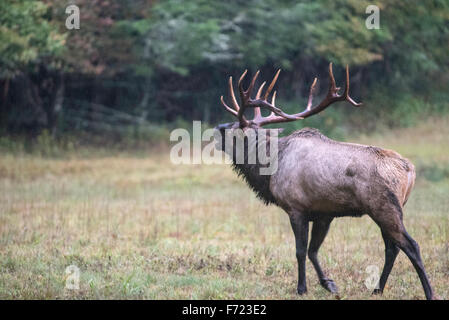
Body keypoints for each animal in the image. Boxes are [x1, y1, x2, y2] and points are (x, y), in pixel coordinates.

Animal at [214, 63, 434, 300]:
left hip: (384, 207)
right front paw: (329, 284)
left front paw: (301, 288)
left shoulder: (296, 208)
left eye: (234, 128)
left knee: (411, 245)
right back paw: (377, 289)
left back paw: (429, 292)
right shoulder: (324, 214)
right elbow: (314, 250)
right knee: (392, 248)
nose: (217, 127)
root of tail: (409, 170)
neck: (269, 171)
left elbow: (300, 251)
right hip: (390, 208)